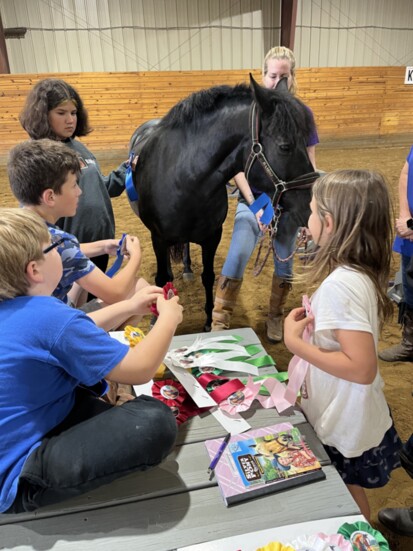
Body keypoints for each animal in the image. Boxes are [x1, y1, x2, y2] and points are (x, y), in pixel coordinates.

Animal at [130, 75, 318, 330]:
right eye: (285, 146)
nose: (310, 208)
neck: (184, 179)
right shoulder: (158, 238)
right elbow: (162, 278)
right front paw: (156, 317)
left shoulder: (212, 237)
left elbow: (209, 277)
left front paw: (210, 321)